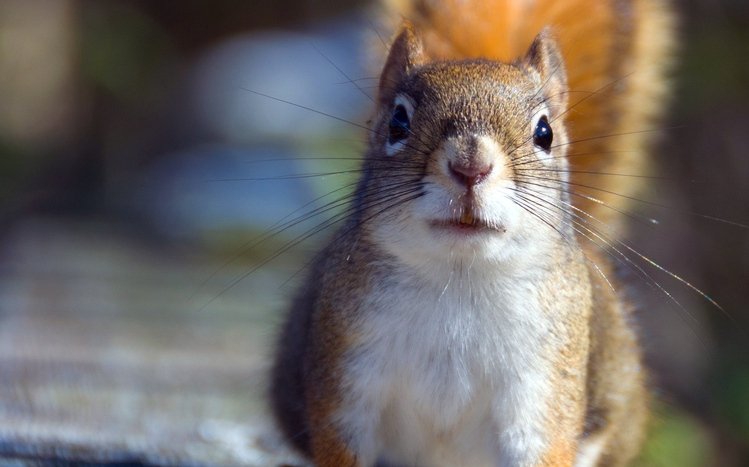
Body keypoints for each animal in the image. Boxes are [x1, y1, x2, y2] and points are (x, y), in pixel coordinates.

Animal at [270, 0, 675, 466]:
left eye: (544, 132)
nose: (471, 165)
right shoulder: (347, 376)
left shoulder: (543, 388)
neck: (460, 276)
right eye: (397, 123)